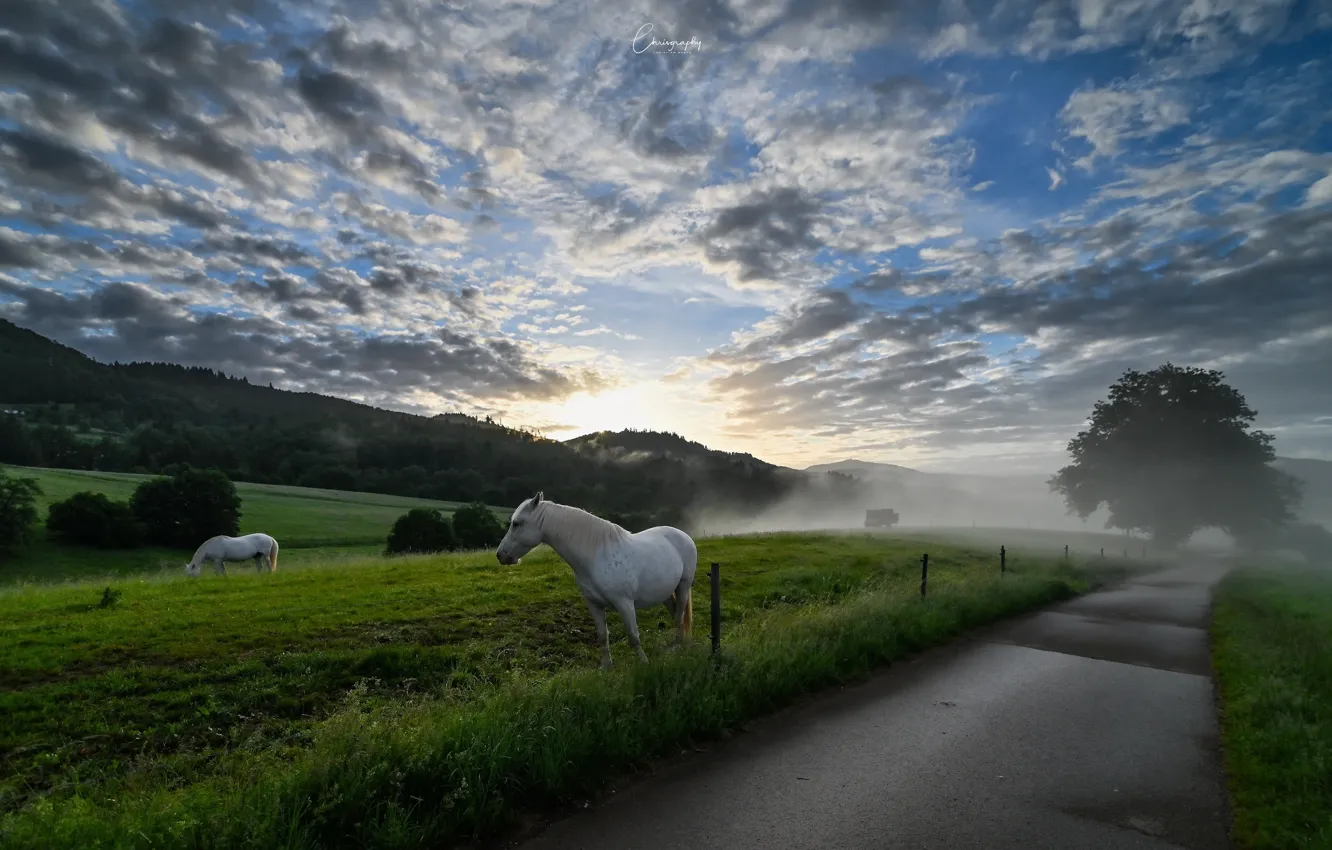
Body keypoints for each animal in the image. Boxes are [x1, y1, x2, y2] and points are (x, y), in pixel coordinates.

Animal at [496, 492, 697, 669]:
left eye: (516, 523)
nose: (501, 555)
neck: (595, 556)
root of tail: (683, 535)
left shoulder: (625, 603)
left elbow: (633, 636)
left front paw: (644, 663)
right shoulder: (594, 604)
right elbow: (602, 636)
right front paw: (606, 667)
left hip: (683, 586)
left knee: (679, 615)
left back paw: (679, 646)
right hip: (664, 592)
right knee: (674, 612)